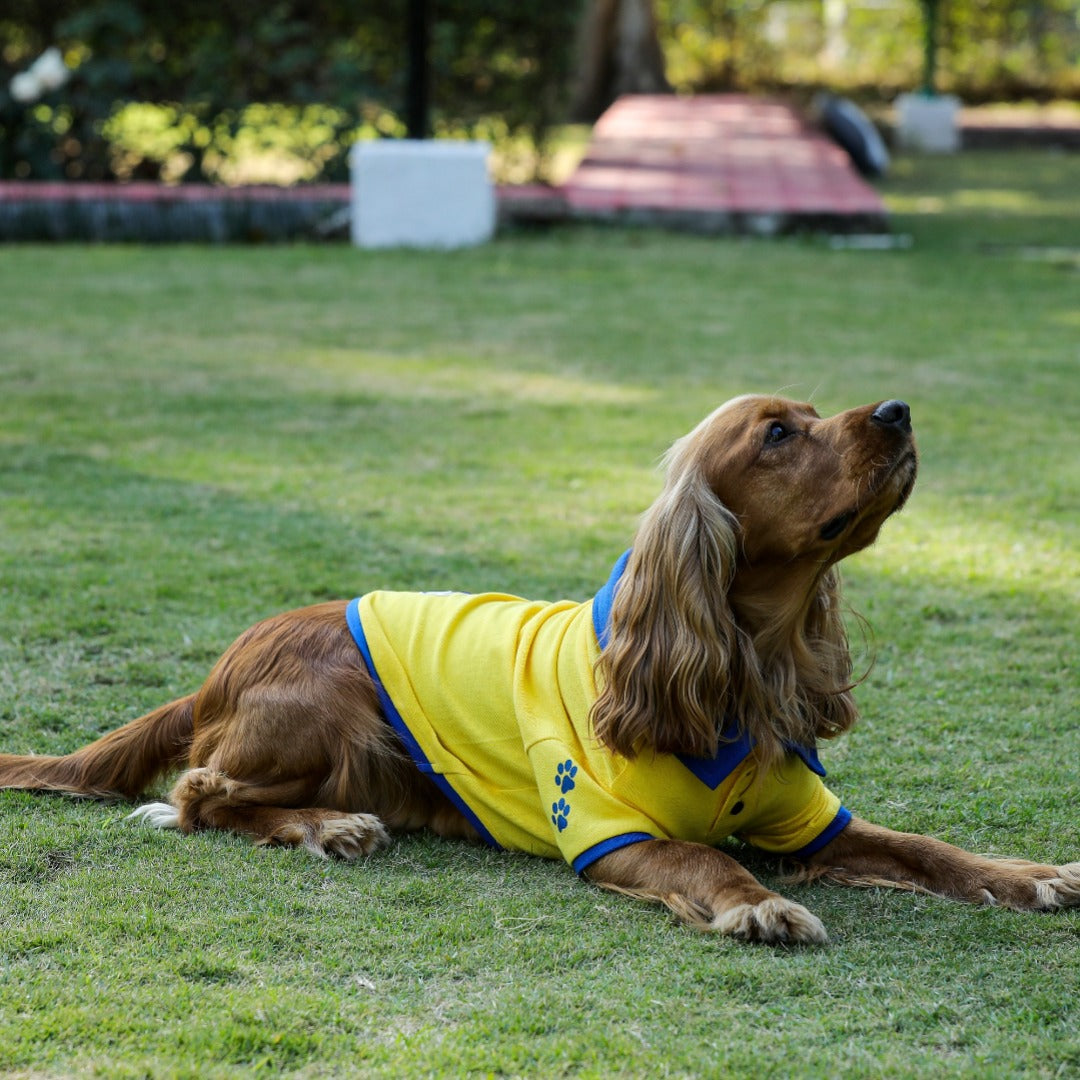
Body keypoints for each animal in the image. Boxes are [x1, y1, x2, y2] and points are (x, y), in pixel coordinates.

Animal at [0, 393, 1075, 941]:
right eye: (777, 433)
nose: (897, 409)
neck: (744, 666)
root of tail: (224, 663)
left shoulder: (813, 821)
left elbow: (926, 849)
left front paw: (1028, 876)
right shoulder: (610, 832)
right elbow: (702, 855)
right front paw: (758, 903)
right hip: (329, 707)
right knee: (196, 795)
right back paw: (327, 826)